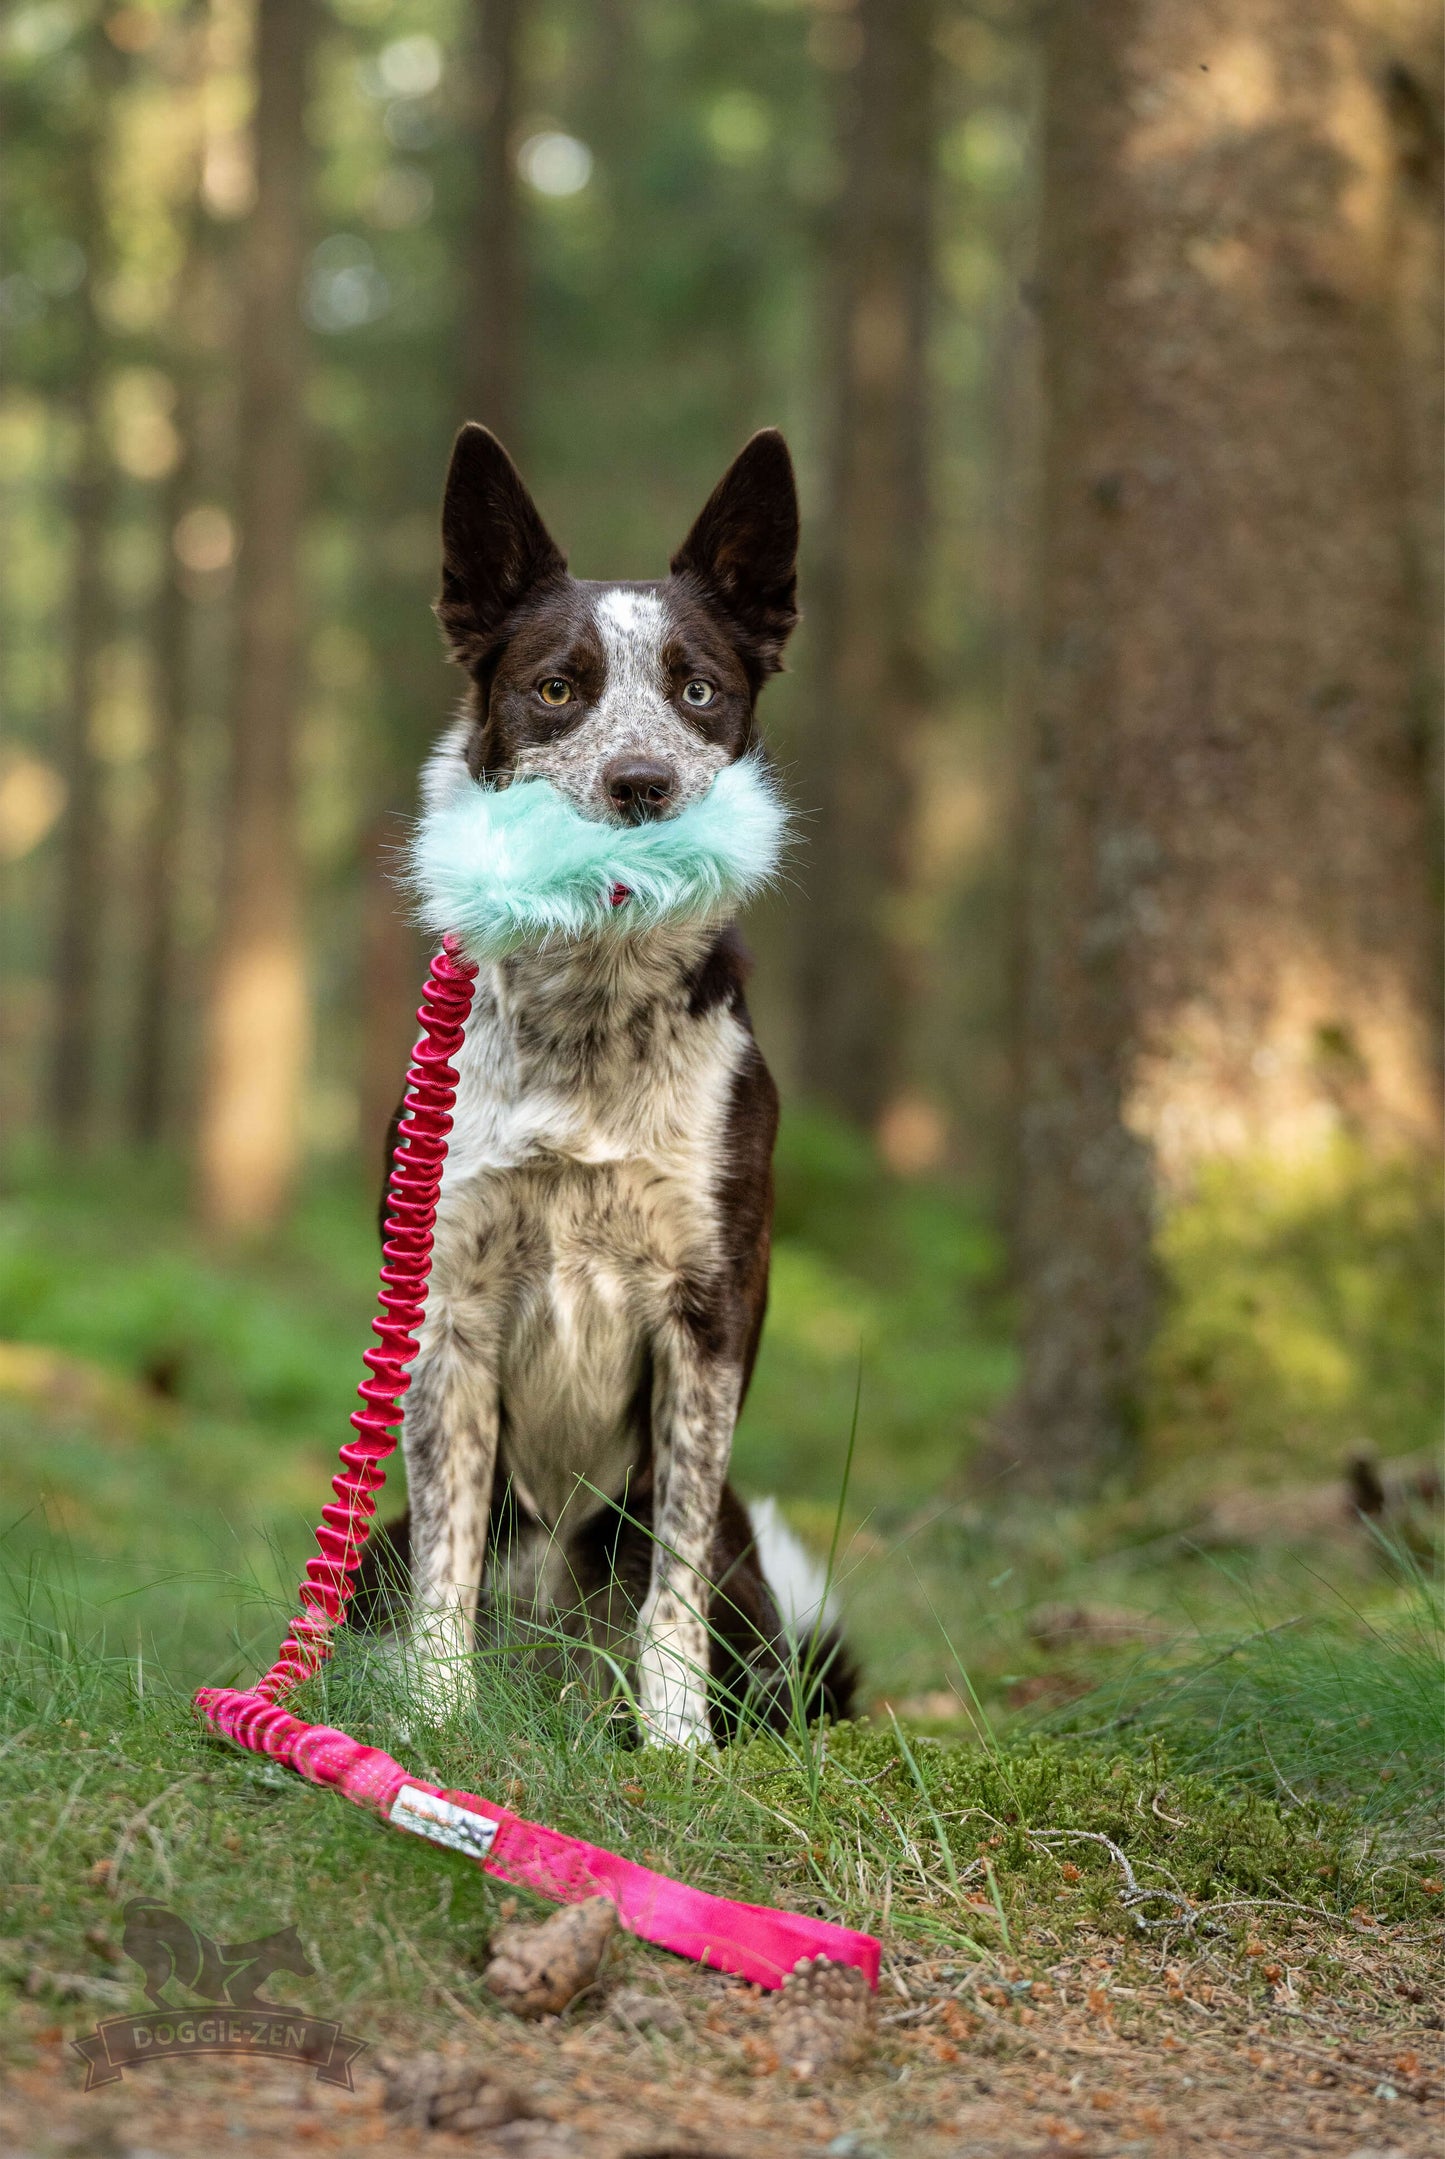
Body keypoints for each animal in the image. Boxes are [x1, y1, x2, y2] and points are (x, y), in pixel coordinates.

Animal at [358, 412, 855, 1744]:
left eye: (698, 690)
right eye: (554, 688)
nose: (642, 785)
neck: (589, 1017)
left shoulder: (703, 1318)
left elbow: (666, 1575)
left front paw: (676, 1741)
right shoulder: (448, 1312)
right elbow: (450, 1550)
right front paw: (434, 1720)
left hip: (737, 1565)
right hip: (373, 1546)